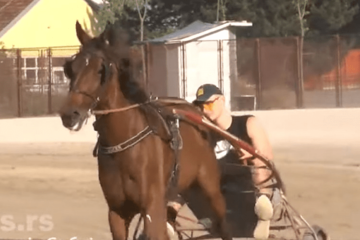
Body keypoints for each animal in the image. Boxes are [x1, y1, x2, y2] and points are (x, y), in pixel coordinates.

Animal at [58, 21, 233, 240]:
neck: (122, 143)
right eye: (70, 68)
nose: (69, 114)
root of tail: (195, 112)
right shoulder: (117, 211)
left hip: (210, 186)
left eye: (101, 70)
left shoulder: (152, 207)